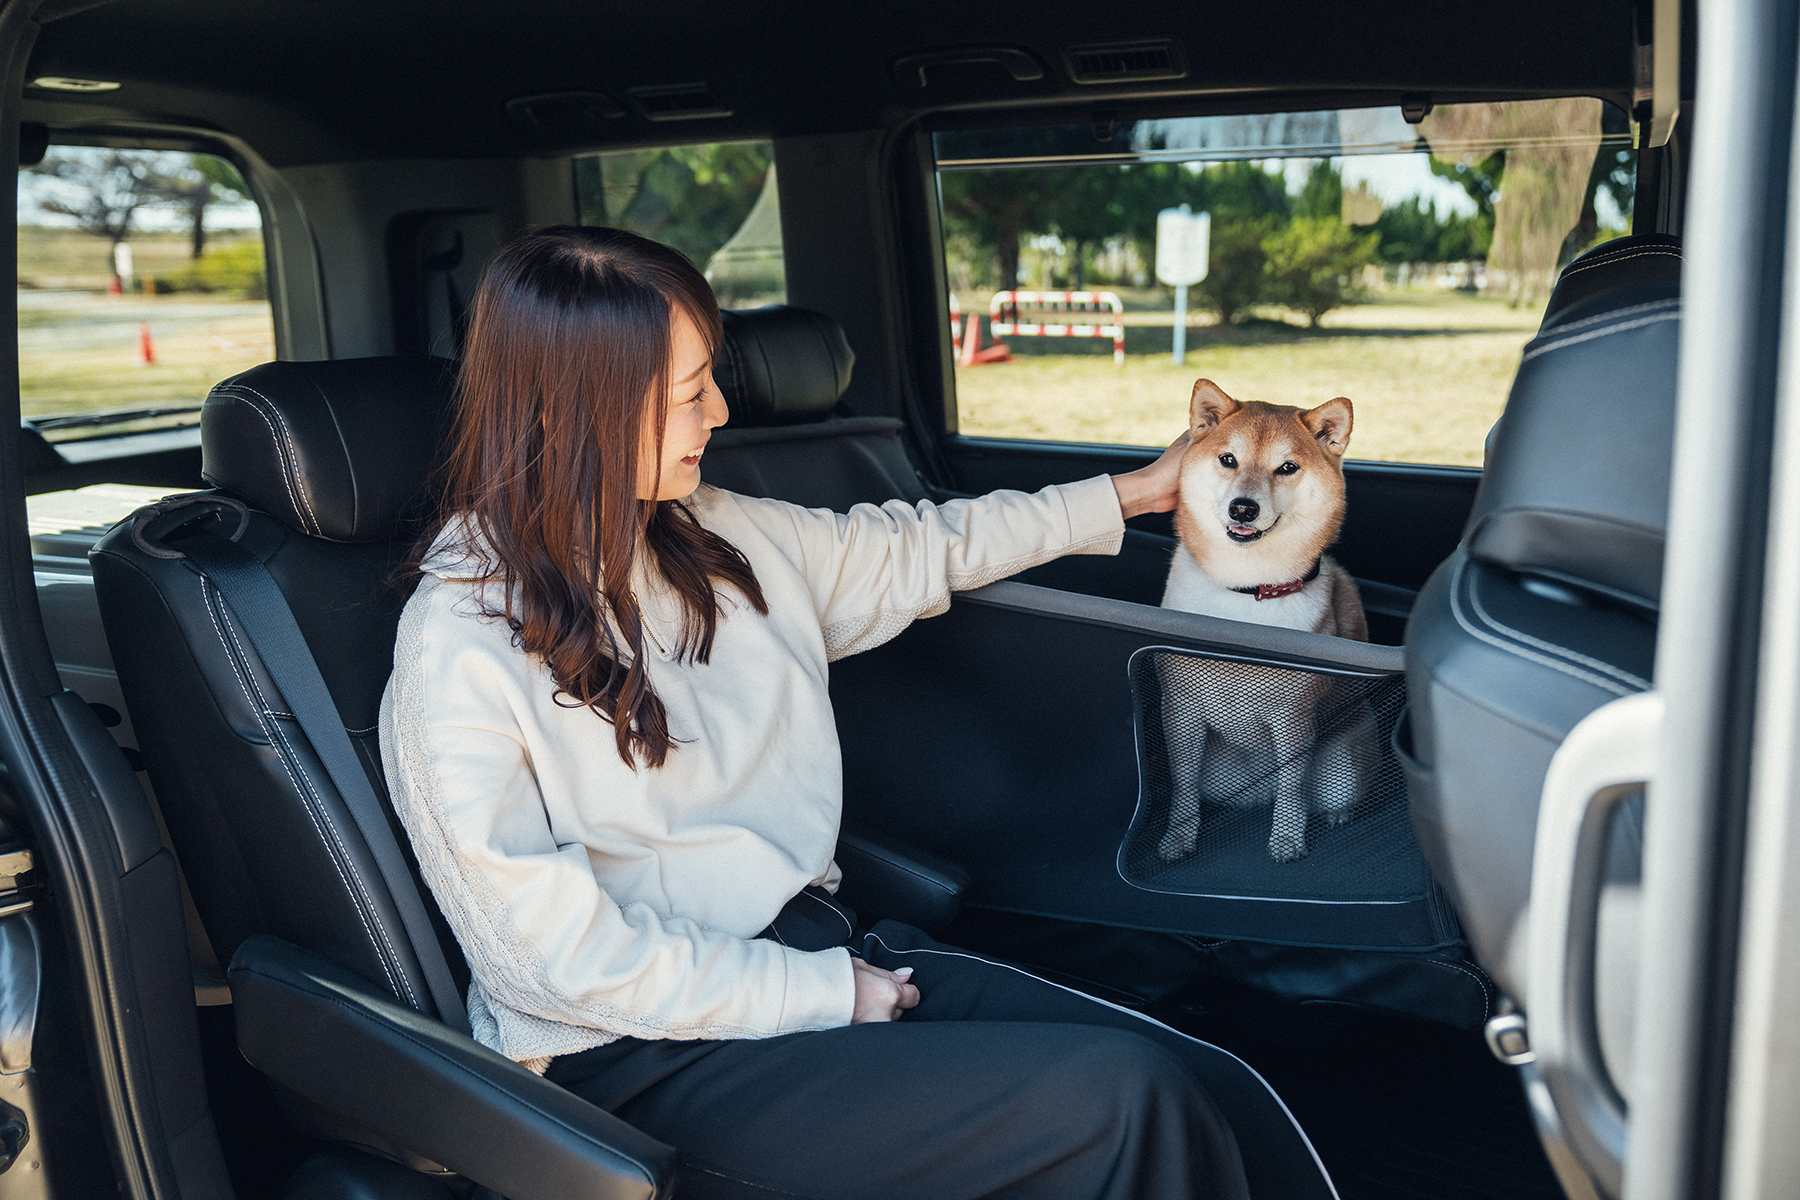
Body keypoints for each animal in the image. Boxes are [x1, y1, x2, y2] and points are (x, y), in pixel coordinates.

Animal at [1159, 379, 1368, 859]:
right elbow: (1182, 785)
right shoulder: (1180, 709)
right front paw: (1178, 836)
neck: (1245, 592)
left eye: (1287, 467)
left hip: (1342, 768)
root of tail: (1256, 793)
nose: (1243, 509)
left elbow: (1291, 786)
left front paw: (1287, 837)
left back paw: (1337, 814)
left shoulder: (1293, 717)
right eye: (1228, 459)